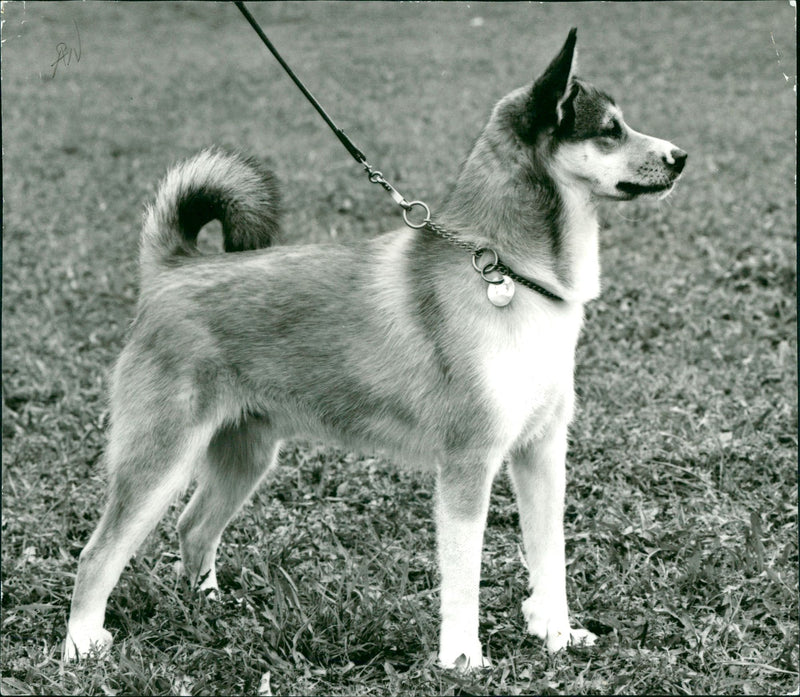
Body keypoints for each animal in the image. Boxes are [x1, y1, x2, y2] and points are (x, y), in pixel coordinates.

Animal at [65, 29, 684, 668]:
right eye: (609, 130)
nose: (679, 157)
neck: (511, 273)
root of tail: (172, 270)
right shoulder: (468, 463)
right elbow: (463, 577)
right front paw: (463, 659)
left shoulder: (541, 452)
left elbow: (549, 556)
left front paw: (556, 634)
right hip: (160, 459)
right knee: (98, 554)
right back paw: (82, 644)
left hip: (246, 455)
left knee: (193, 528)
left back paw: (208, 609)